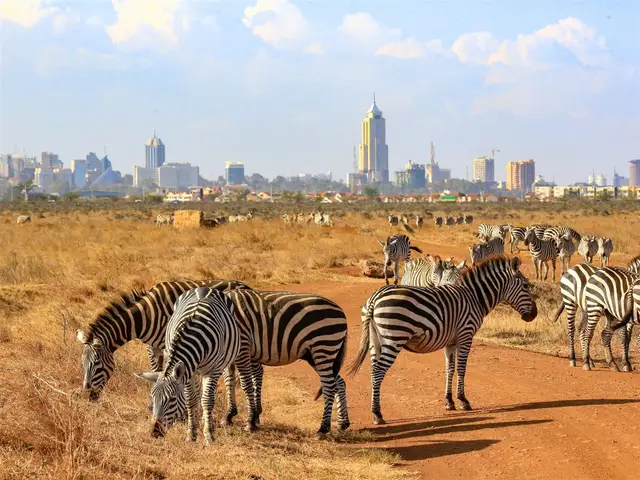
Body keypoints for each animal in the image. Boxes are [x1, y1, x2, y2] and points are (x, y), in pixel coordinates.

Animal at [76, 279, 251, 401]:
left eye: (97, 363)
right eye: (83, 363)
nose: (88, 396)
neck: (145, 316)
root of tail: (245, 285)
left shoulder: (168, 345)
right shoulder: (152, 346)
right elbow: (156, 370)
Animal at [137, 287, 241, 445]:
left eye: (172, 399)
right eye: (152, 397)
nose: (154, 433)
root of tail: (204, 288)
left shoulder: (213, 370)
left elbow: (207, 400)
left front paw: (209, 435)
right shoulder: (188, 371)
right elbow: (190, 400)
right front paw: (191, 434)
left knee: (209, 394)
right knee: (198, 393)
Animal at [221, 289, 350, 438]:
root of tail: (340, 311)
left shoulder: (243, 346)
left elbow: (246, 384)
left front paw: (250, 422)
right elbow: (229, 380)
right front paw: (228, 416)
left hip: (323, 346)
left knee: (329, 386)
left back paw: (322, 429)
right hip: (316, 354)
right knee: (338, 382)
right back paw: (342, 423)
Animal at [348, 256, 536, 424]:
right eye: (526, 286)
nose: (534, 315)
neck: (475, 297)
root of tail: (375, 298)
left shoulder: (451, 341)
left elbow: (450, 369)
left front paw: (449, 401)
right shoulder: (465, 335)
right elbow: (461, 369)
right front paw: (463, 401)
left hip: (375, 340)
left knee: (373, 370)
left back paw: (375, 410)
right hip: (394, 338)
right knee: (378, 371)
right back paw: (377, 414)